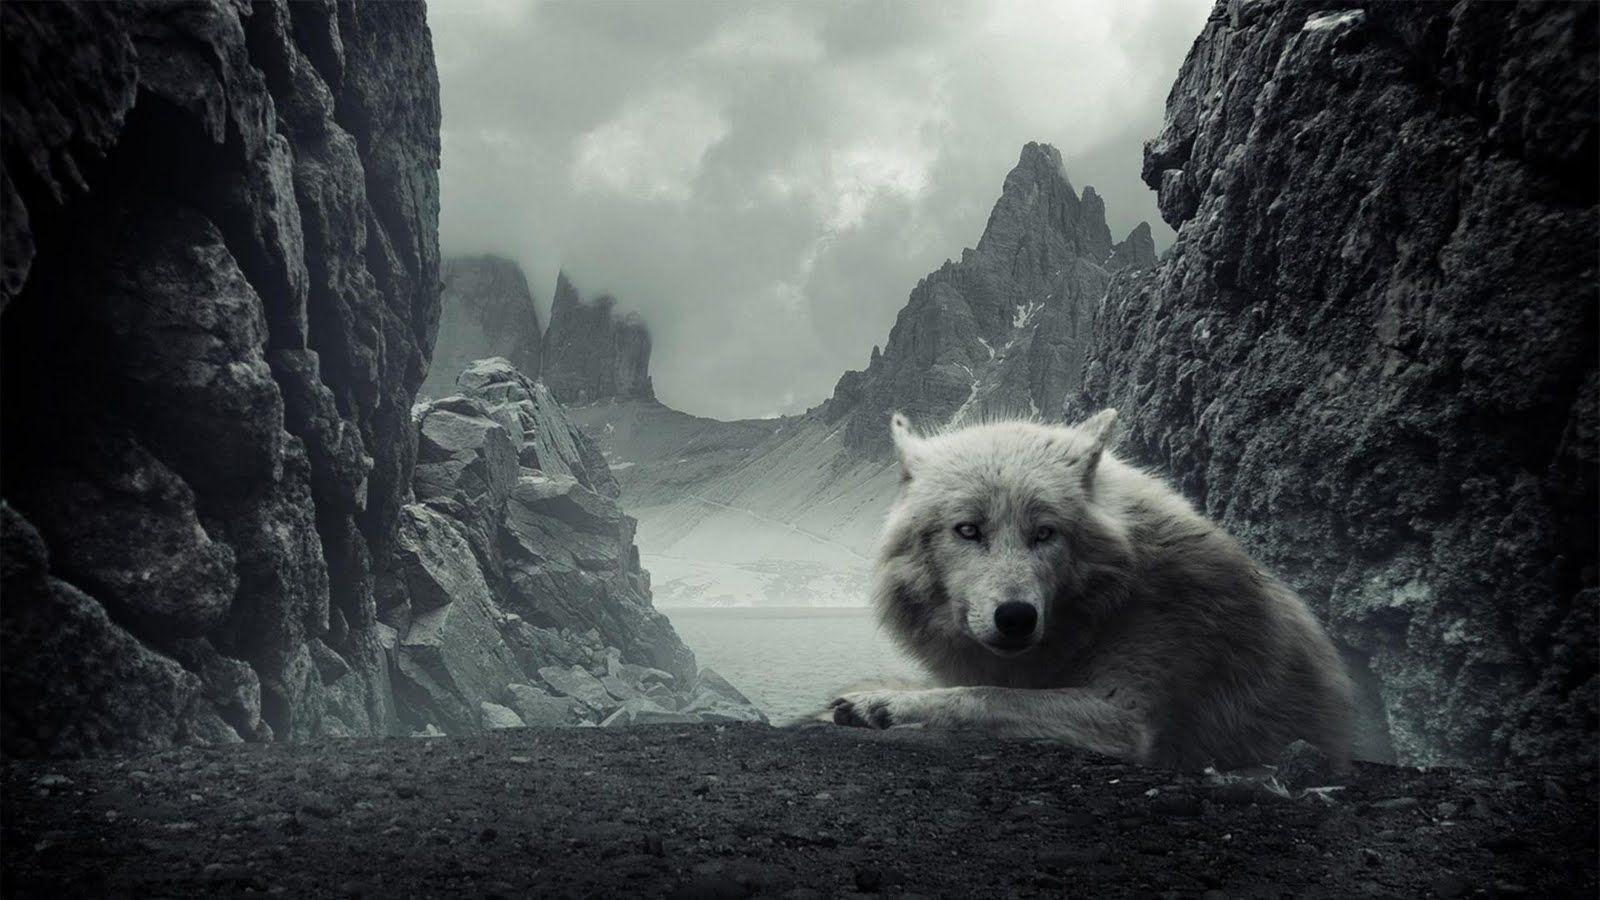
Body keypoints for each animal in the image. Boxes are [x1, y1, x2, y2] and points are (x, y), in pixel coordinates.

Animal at [827, 410, 1353, 769]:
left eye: (1045, 533)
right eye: (968, 530)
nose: (1016, 617)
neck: (1109, 604)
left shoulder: (1126, 716)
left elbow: (983, 696)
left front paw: (881, 703)